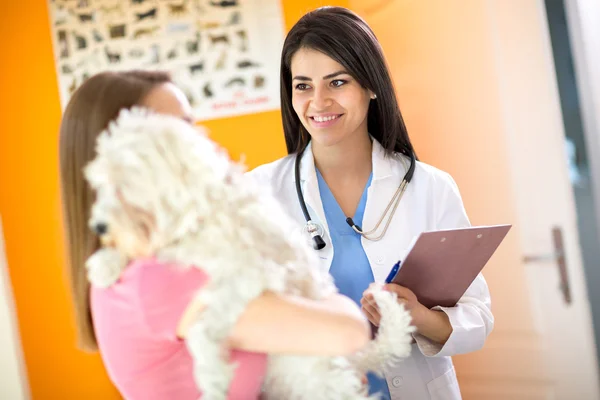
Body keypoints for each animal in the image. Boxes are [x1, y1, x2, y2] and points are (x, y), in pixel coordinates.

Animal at [82, 108, 414, 398]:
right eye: (100, 185)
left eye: (123, 183)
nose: (98, 226)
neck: (201, 214)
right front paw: (105, 264)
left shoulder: (251, 276)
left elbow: (203, 328)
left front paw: (214, 378)